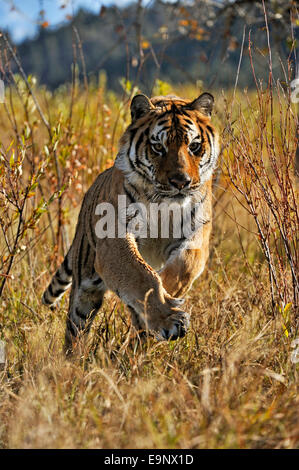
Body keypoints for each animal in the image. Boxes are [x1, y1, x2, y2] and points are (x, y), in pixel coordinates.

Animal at [42, 92, 220, 352]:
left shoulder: (197, 235)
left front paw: (164, 303)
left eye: (194, 146)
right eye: (158, 147)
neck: (163, 205)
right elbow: (141, 274)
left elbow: (180, 267)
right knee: (75, 328)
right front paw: (169, 317)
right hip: (84, 289)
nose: (180, 182)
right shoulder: (115, 237)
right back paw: (73, 358)